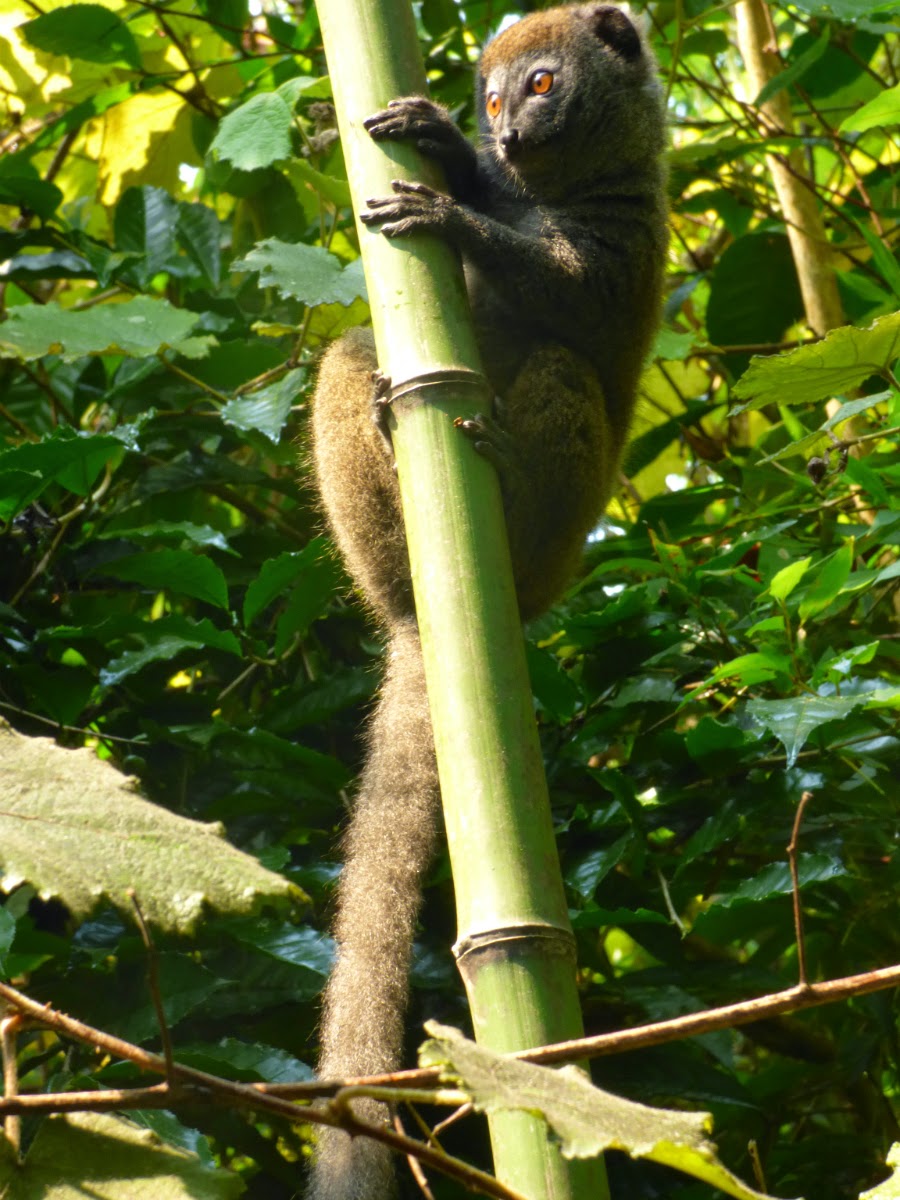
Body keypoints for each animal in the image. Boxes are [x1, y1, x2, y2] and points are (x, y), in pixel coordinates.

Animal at [307, 5, 668, 1197]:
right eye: (495, 93)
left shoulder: (629, 236)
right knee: (349, 353)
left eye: (544, 85)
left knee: (561, 367)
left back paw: (501, 474)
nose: (505, 132)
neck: (559, 181)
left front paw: (448, 211)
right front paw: (442, 151)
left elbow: (567, 299)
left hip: (556, 523)